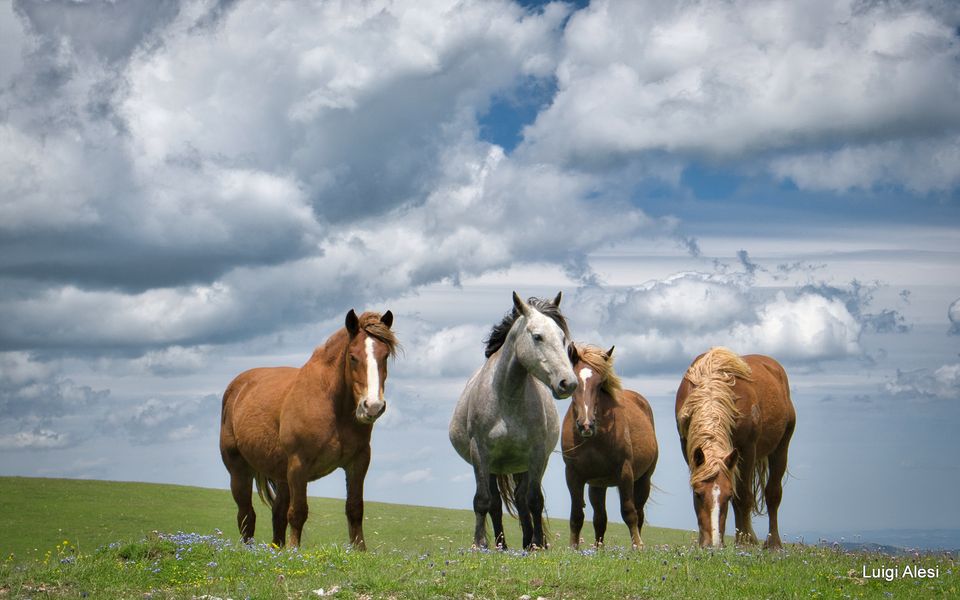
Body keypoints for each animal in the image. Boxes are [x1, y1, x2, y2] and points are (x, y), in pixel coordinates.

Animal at [218, 312, 398, 552]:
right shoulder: (298, 465)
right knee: (247, 515)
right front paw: (294, 550)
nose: (373, 406)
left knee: (277, 513)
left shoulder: (358, 462)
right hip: (239, 470)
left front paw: (360, 550)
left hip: (281, 475)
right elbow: (298, 512)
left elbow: (354, 508)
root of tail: (237, 387)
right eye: (353, 357)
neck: (332, 406)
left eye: (385, 355)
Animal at [450, 292, 576, 552]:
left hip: (522, 465)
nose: (568, 383)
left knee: (521, 498)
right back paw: (500, 545)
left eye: (562, 338)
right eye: (537, 336)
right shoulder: (480, 453)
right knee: (495, 503)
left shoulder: (536, 454)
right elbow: (483, 500)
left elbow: (534, 500)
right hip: (492, 466)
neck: (507, 398)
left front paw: (536, 544)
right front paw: (479, 544)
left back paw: (527, 542)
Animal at [560, 344, 656, 552]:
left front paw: (637, 546)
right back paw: (598, 549)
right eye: (575, 382)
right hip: (598, 485)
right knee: (600, 518)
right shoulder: (573, 475)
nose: (586, 425)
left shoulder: (625, 472)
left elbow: (629, 512)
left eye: (600, 384)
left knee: (639, 513)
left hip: (643, 479)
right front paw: (573, 548)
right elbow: (577, 514)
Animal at [680, 346, 800, 548]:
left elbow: (742, 496)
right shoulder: (687, 447)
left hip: (781, 447)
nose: (712, 544)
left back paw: (772, 544)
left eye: (727, 496)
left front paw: (744, 542)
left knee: (773, 493)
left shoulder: (747, 449)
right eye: (697, 494)